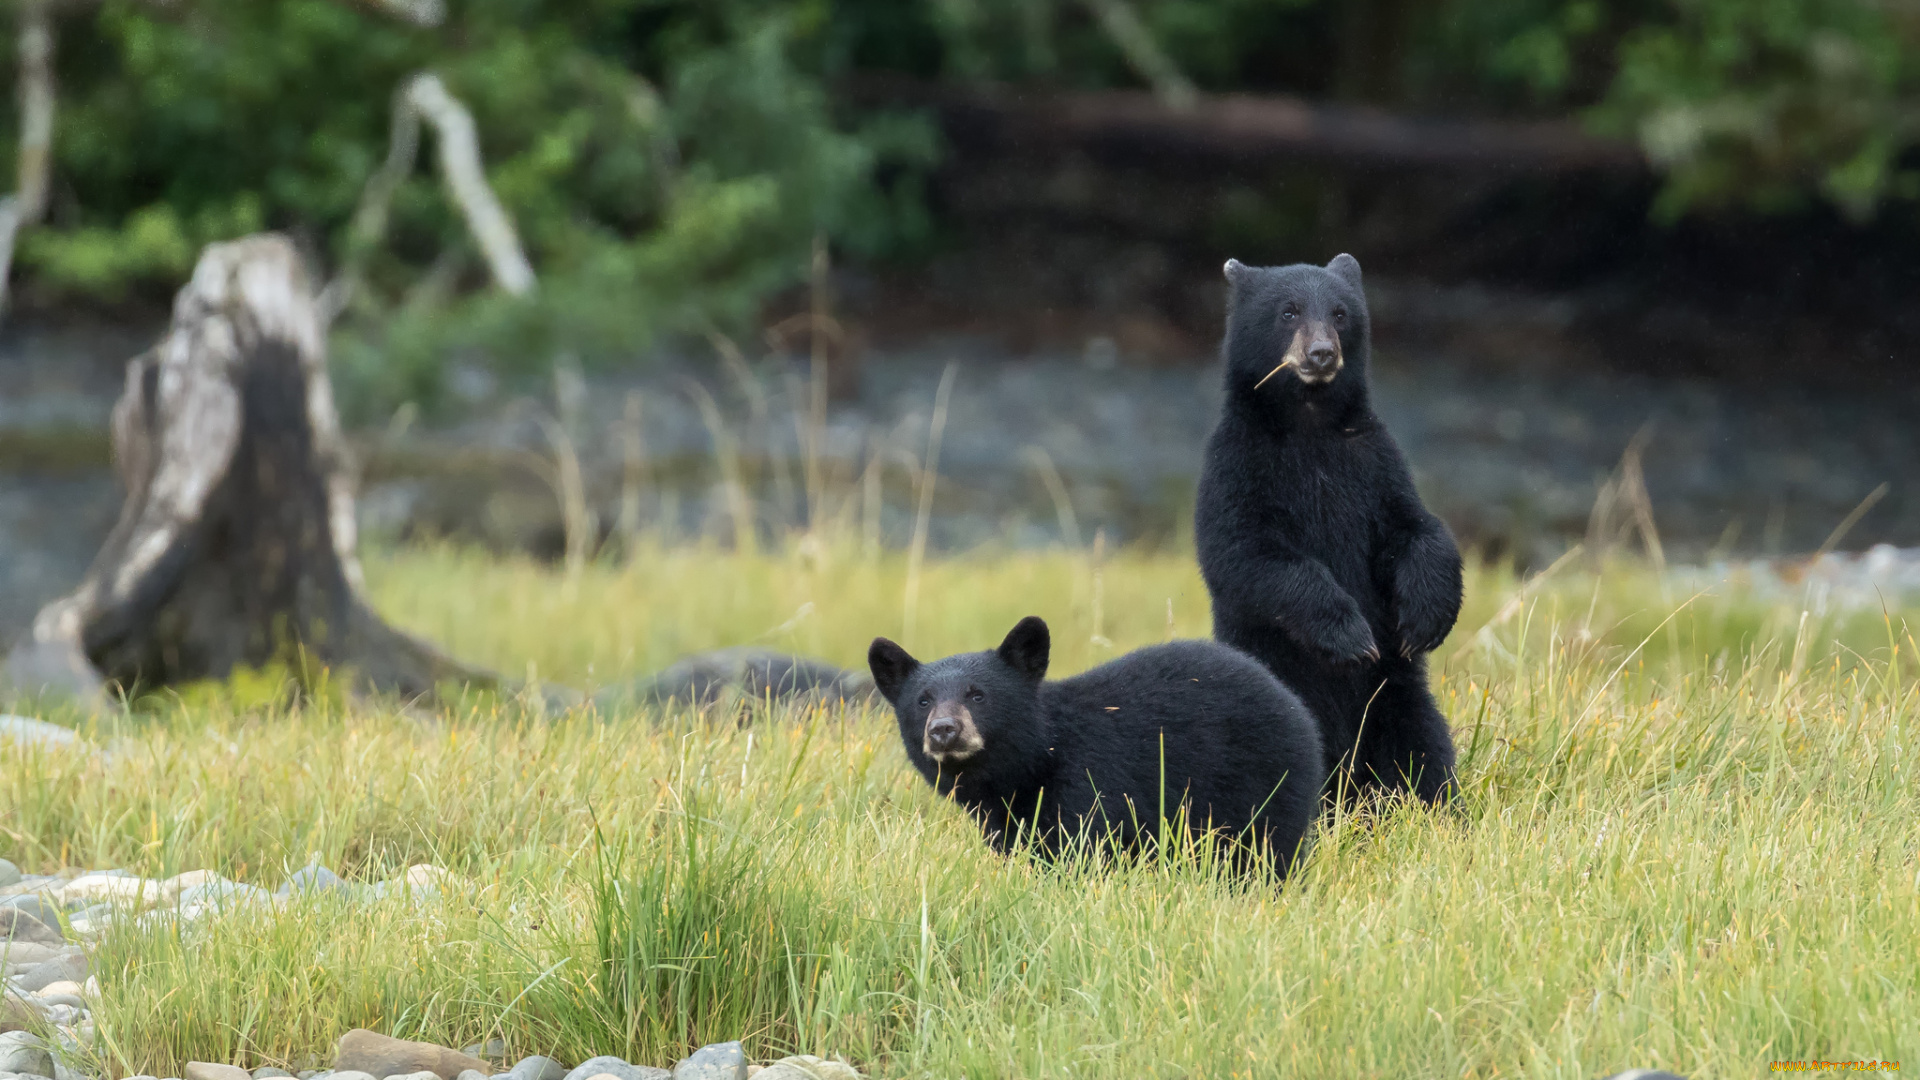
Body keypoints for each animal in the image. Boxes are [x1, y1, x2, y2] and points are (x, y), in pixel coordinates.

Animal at [867, 614, 1320, 876]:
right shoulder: (1005, 821)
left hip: (1267, 782)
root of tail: (1294, 703)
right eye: (923, 700)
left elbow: (1084, 849)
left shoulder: (1091, 782)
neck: (1035, 763)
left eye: (977, 695)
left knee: (1268, 852)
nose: (943, 730)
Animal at [1190, 255, 1459, 803]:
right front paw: (1348, 635)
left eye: (1340, 313)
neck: (1309, 424)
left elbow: (1415, 528)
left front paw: (1427, 617)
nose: (1321, 353)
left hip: (1394, 698)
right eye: (1288, 311)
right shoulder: (1237, 464)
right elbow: (1246, 552)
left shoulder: (1373, 459)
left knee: (1423, 744)